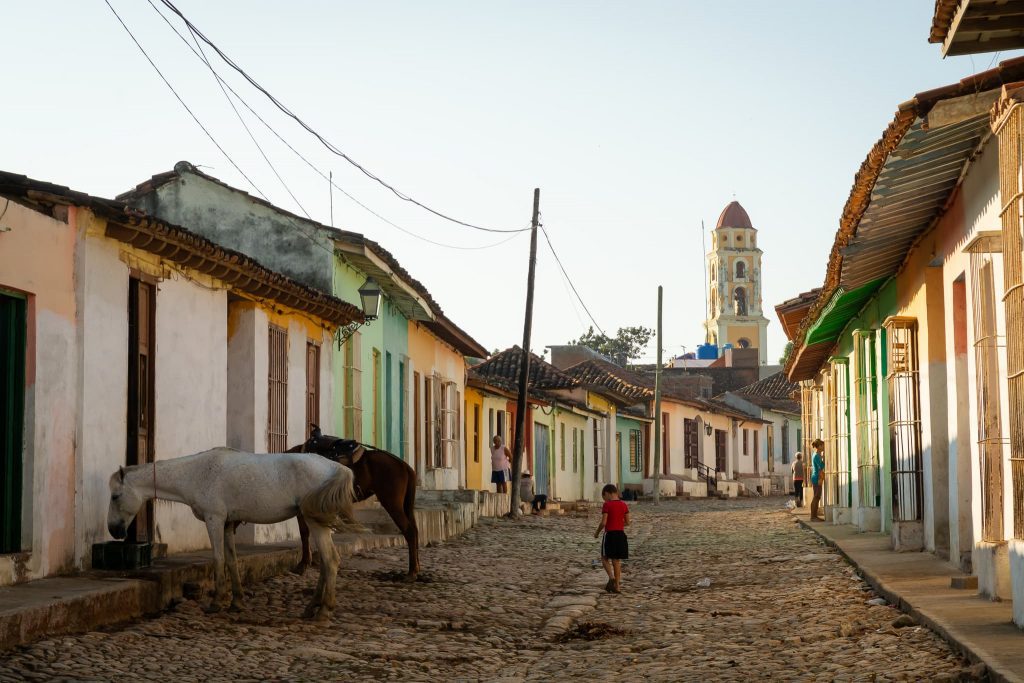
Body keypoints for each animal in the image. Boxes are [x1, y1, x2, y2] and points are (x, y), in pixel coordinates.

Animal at [108, 446, 356, 622]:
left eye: (115, 496)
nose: (114, 530)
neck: (196, 473)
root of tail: (336, 467)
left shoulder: (214, 520)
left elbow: (218, 560)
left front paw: (216, 602)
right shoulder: (227, 525)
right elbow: (232, 561)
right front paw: (237, 602)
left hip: (315, 523)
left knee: (331, 561)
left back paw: (324, 611)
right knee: (326, 563)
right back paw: (312, 607)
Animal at [288, 428, 419, 581]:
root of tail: (404, 465)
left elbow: (304, 532)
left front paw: (303, 564)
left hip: (392, 504)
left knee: (409, 531)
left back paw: (412, 572)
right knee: (415, 530)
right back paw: (416, 568)